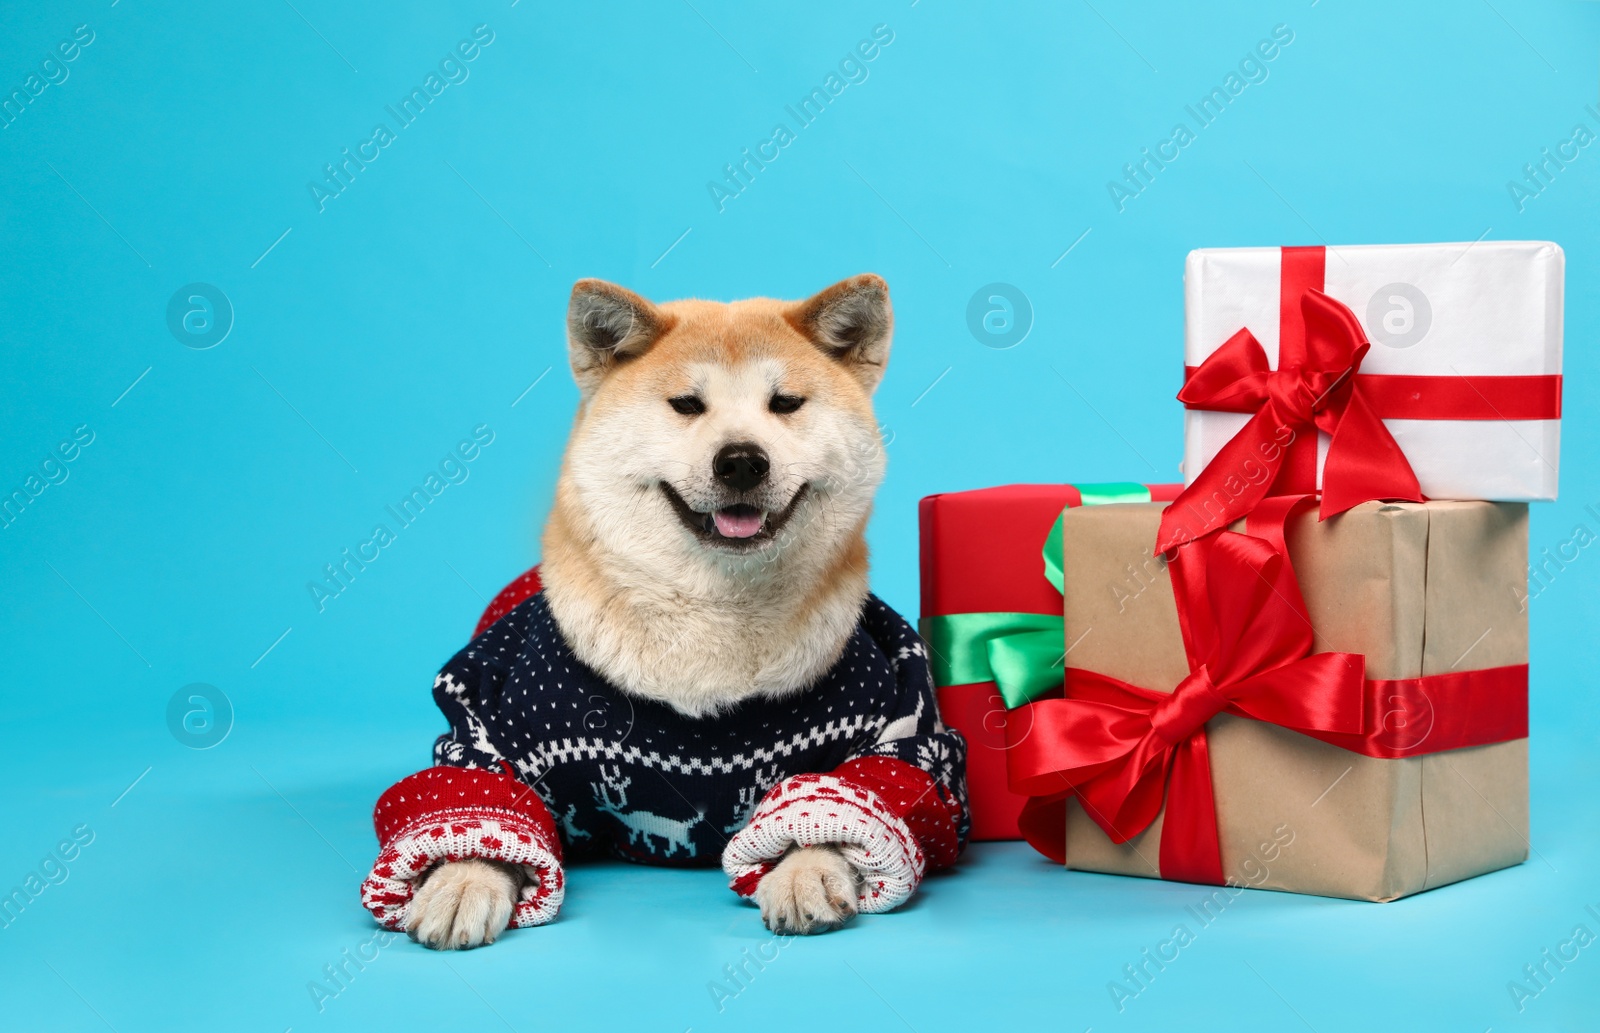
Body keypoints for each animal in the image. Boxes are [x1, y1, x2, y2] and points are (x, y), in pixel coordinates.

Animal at [360, 273, 960, 946]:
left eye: (785, 403)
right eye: (686, 405)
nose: (742, 460)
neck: (715, 619)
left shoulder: (899, 731)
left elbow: (843, 800)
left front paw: (806, 866)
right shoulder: (488, 729)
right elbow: (476, 798)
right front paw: (464, 878)